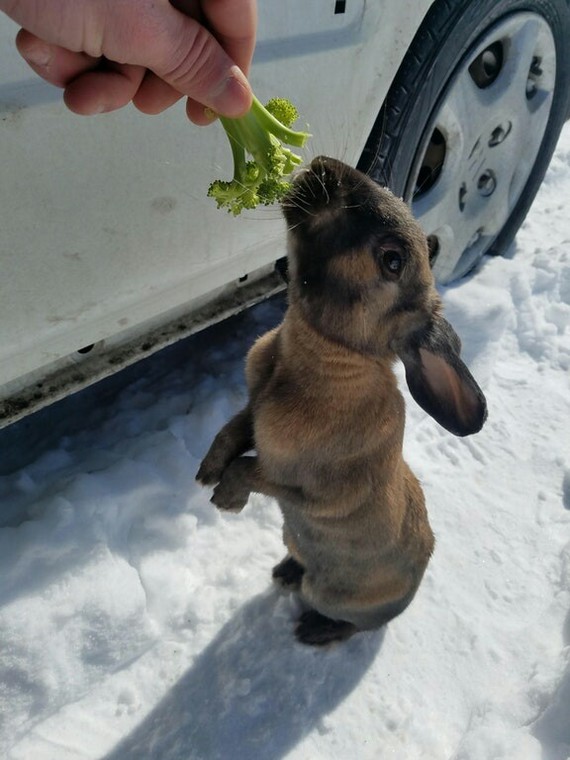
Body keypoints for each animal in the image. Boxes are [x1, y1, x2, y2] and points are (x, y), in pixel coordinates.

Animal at [197, 156, 486, 648]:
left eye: (393, 260)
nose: (324, 166)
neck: (320, 356)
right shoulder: (252, 409)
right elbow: (232, 432)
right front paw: (205, 474)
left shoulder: (311, 491)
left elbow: (250, 470)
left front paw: (225, 501)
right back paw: (285, 572)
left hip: (333, 596)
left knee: (350, 625)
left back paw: (312, 629)